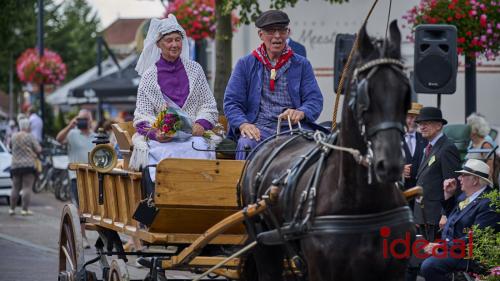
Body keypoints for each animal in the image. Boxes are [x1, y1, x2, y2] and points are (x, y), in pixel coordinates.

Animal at [240, 21, 412, 280]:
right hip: (263, 247)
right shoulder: (322, 271)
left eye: (405, 93)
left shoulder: (393, 271)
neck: (362, 204)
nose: (390, 164)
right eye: (364, 93)